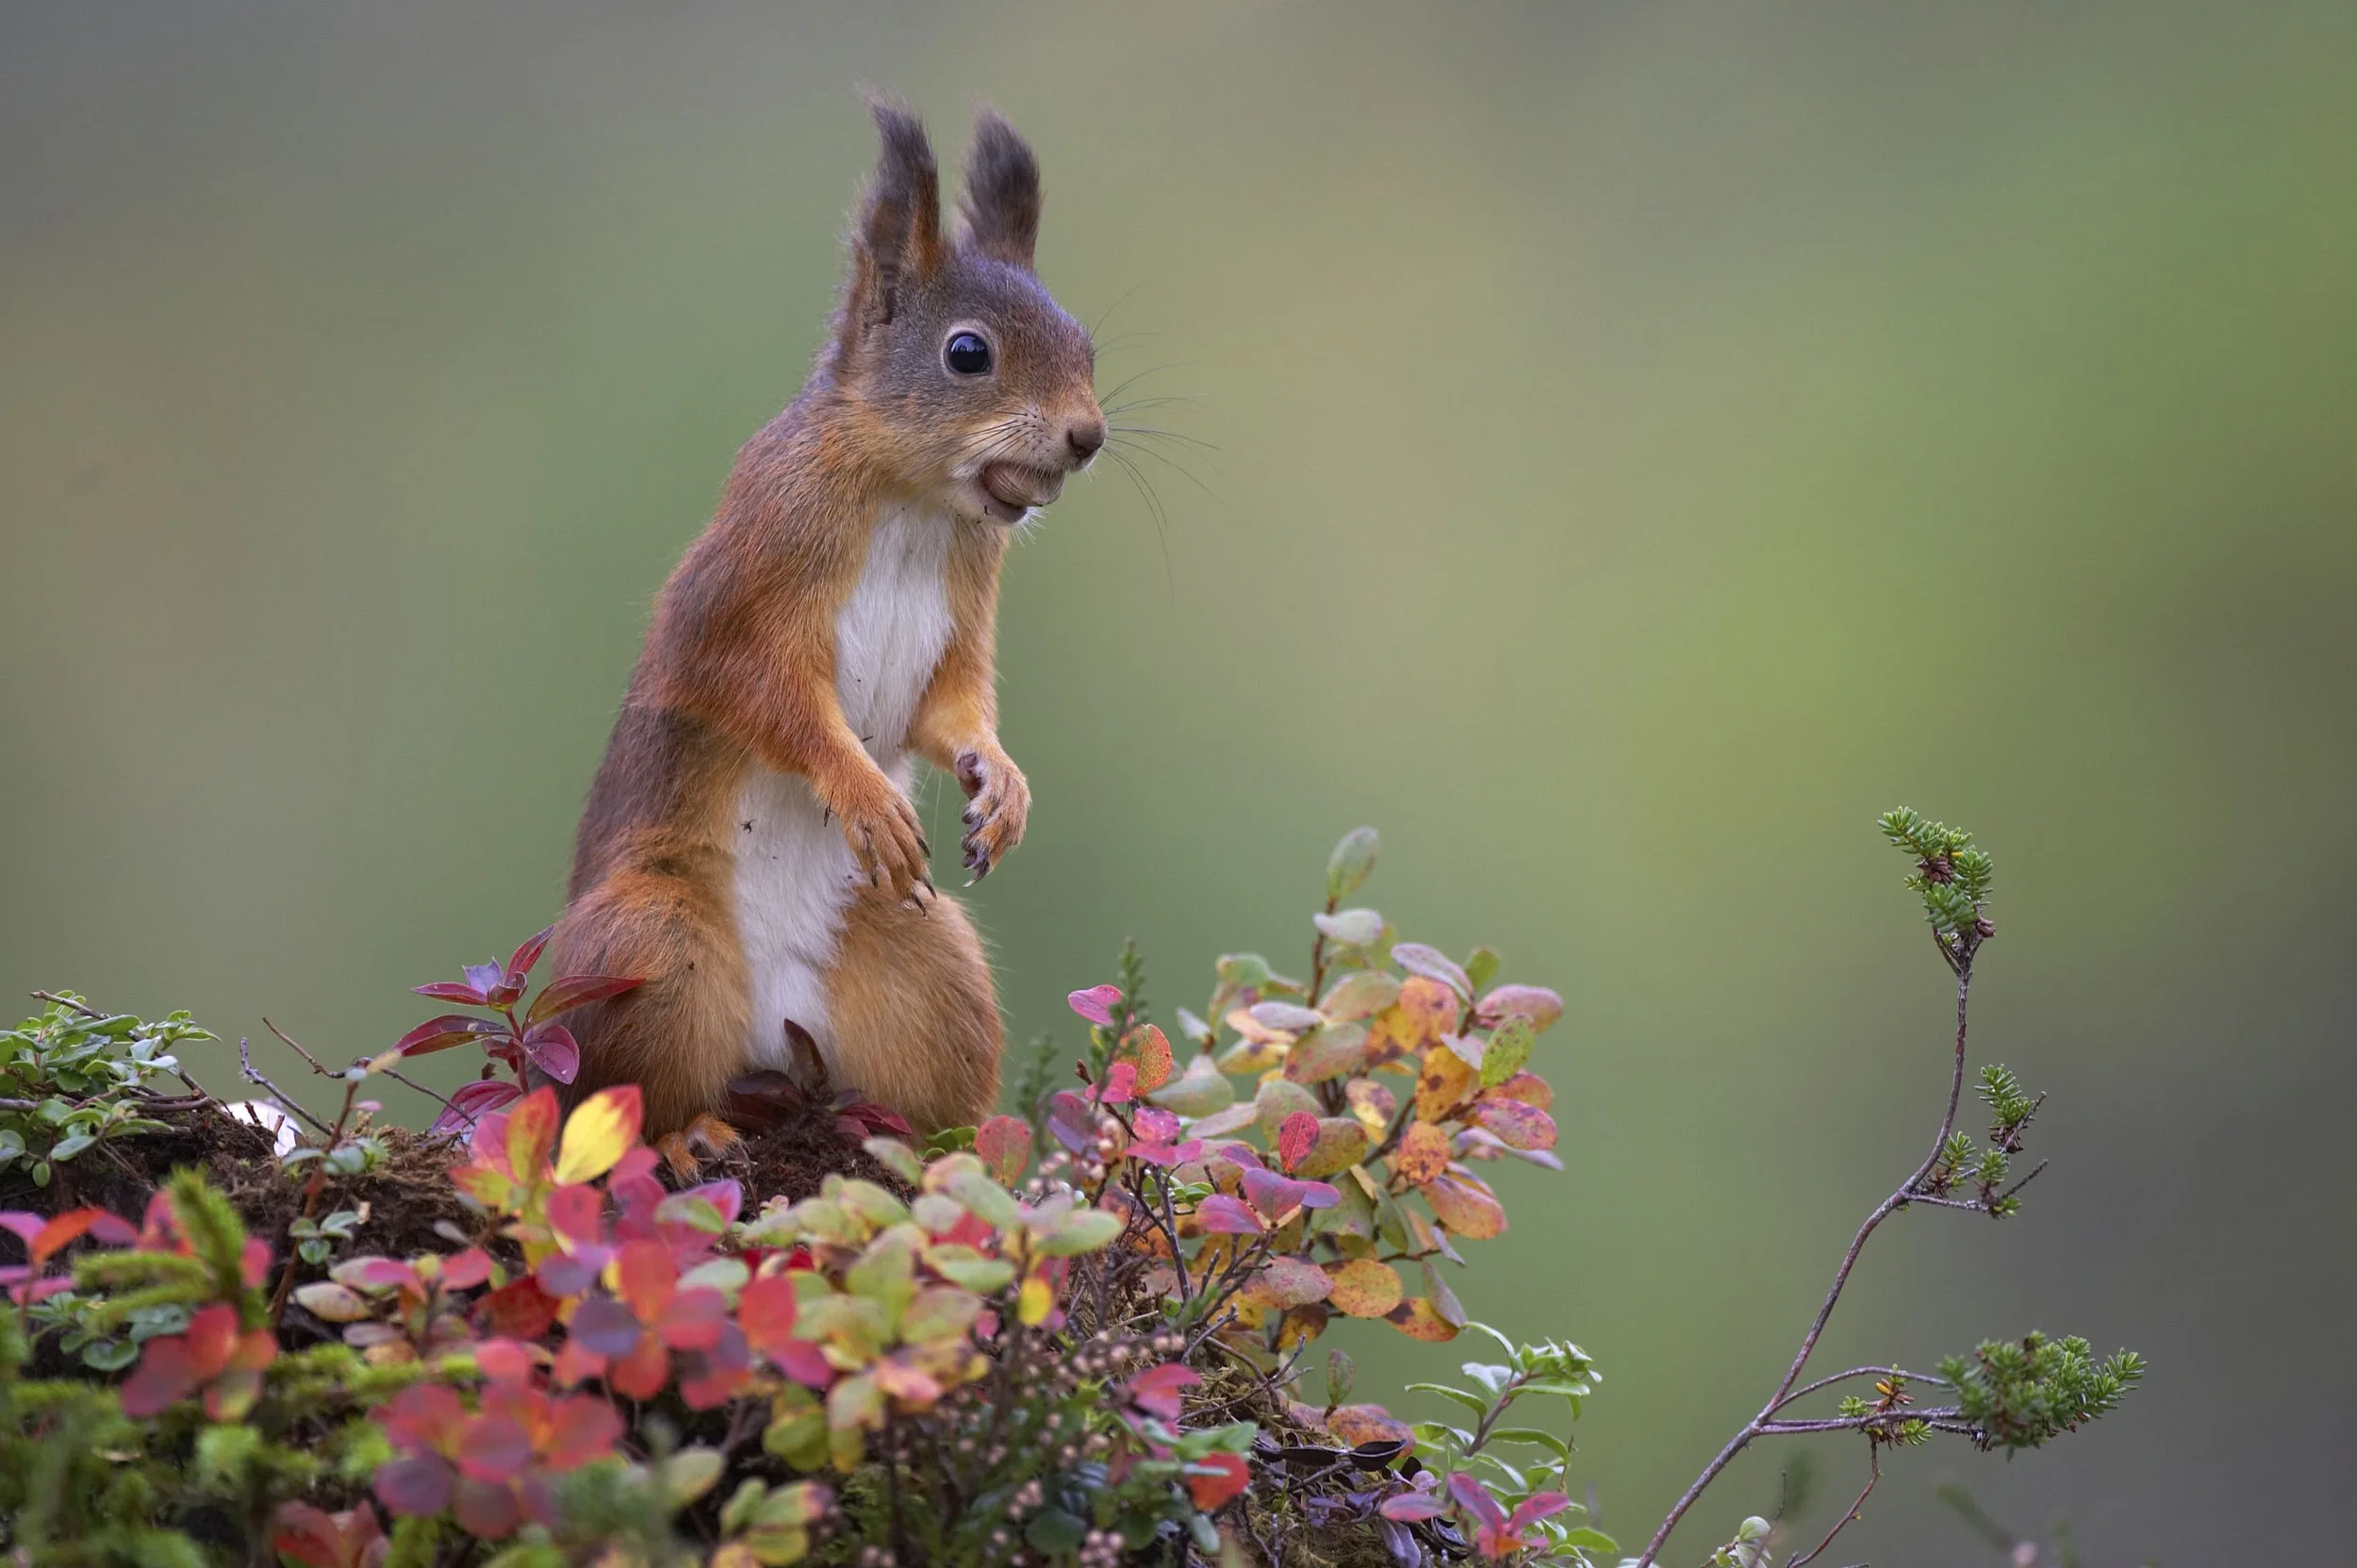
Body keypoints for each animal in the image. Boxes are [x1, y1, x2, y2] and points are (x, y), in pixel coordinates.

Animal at [547, 103, 1103, 1175]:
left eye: (1086, 341)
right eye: (966, 353)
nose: (1087, 438)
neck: (913, 502)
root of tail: (771, 1039)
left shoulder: (962, 615)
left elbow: (951, 708)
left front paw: (1002, 785)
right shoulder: (747, 581)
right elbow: (762, 695)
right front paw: (863, 791)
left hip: (931, 968)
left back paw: (953, 1157)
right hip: (647, 947)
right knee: (609, 1099)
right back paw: (684, 1132)